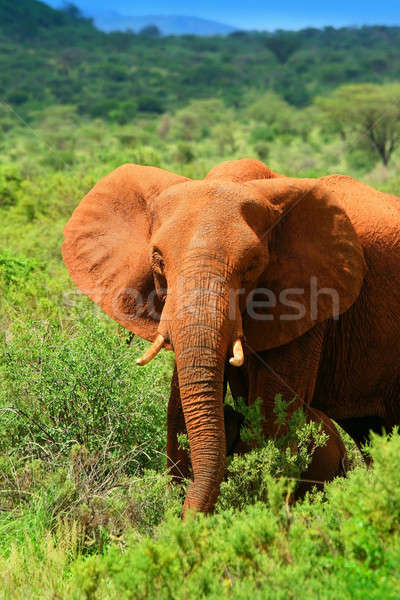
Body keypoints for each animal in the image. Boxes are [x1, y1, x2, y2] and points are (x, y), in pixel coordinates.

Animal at [61, 158, 400, 516]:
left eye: (252, 265)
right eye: (158, 260)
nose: (189, 518)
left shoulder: (310, 299)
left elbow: (273, 409)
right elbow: (178, 406)